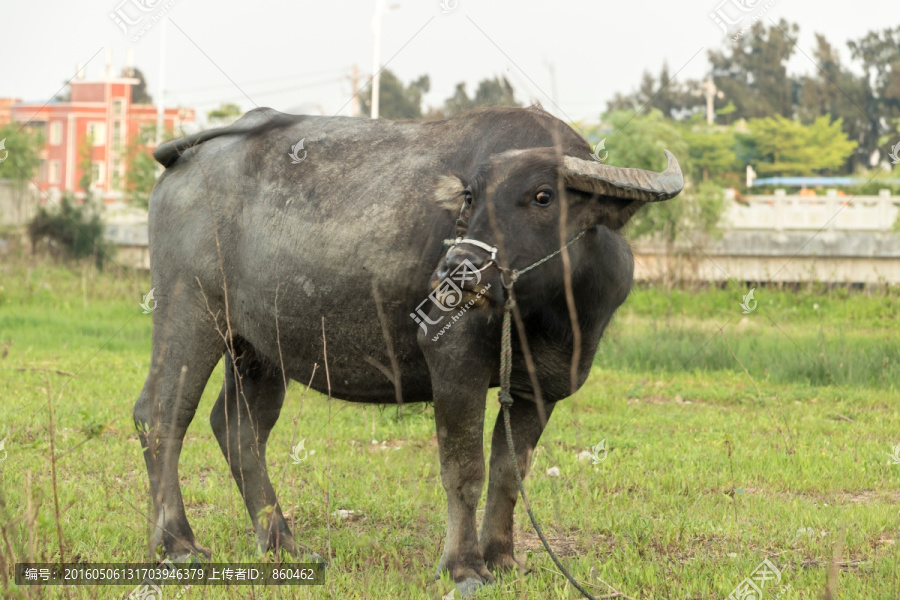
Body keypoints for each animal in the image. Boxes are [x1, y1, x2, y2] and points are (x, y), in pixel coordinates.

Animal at [137, 106, 680, 596]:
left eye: (543, 196)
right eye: (471, 198)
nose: (456, 270)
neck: (550, 308)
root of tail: (189, 158)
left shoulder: (537, 387)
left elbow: (510, 473)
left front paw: (503, 561)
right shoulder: (453, 360)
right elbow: (465, 470)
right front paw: (464, 569)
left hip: (256, 346)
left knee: (238, 428)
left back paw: (283, 545)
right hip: (188, 308)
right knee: (162, 414)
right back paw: (179, 546)